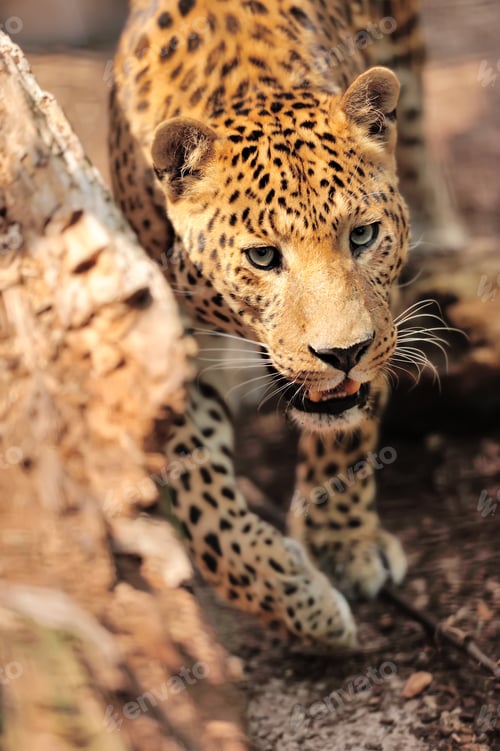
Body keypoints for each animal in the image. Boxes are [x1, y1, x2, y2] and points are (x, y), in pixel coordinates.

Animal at [109, 0, 461, 649]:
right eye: (264, 257)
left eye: (363, 236)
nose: (343, 354)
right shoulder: (166, 345)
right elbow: (202, 507)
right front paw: (296, 598)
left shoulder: (382, 319)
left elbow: (350, 429)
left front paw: (340, 544)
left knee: (421, 134)